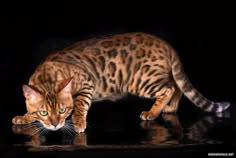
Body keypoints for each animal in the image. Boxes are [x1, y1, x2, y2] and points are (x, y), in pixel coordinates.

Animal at [11, 32, 230, 133]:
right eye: (43, 112)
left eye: (63, 110)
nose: (56, 125)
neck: (47, 74)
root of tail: (165, 43)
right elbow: (29, 112)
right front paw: (24, 117)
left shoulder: (87, 83)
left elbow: (80, 105)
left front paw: (79, 123)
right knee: (177, 86)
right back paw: (170, 108)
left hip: (142, 79)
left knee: (169, 87)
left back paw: (153, 112)